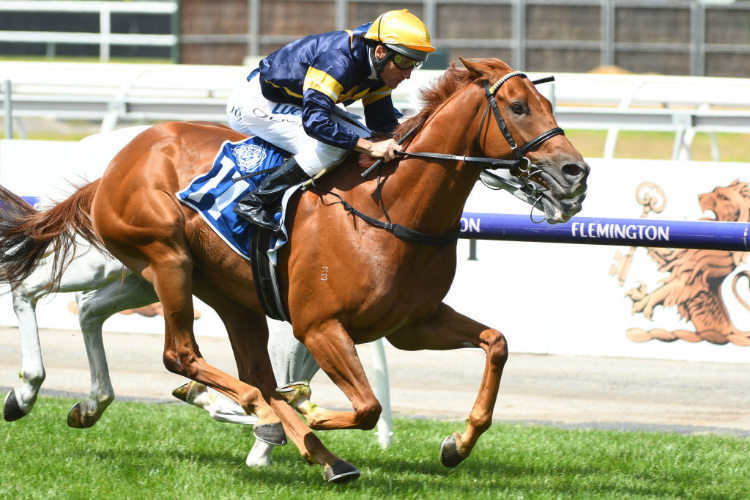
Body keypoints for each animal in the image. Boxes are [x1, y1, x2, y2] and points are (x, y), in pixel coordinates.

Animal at [0, 56, 588, 482]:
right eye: (517, 107)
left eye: (544, 101)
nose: (575, 171)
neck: (388, 209)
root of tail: (119, 160)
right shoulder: (319, 324)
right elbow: (368, 405)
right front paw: (316, 414)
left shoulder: (411, 324)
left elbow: (496, 343)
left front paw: (456, 444)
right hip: (163, 258)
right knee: (172, 350)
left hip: (194, 284)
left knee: (110, 318)